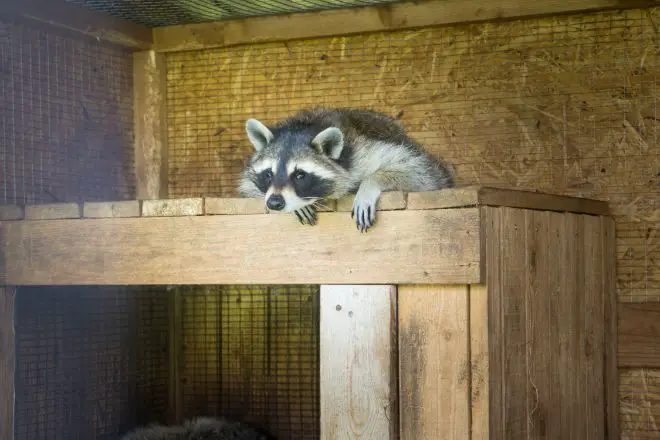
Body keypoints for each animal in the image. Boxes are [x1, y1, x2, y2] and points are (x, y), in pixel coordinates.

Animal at [237, 107, 454, 232]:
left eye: (300, 175)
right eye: (268, 174)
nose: (274, 202)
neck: (305, 128)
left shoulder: (363, 151)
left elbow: (423, 173)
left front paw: (370, 184)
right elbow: (248, 185)